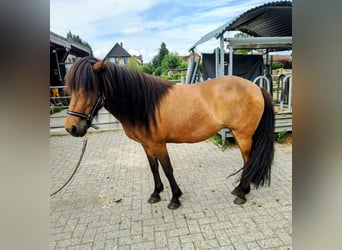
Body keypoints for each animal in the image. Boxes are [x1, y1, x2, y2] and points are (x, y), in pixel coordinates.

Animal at [64, 56, 274, 209]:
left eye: (89, 89)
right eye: (71, 89)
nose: (71, 128)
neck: (144, 104)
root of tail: (257, 87)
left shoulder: (159, 144)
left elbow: (167, 169)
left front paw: (175, 198)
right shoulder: (146, 144)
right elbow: (154, 168)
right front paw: (156, 193)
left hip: (243, 136)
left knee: (248, 161)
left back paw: (241, 193)